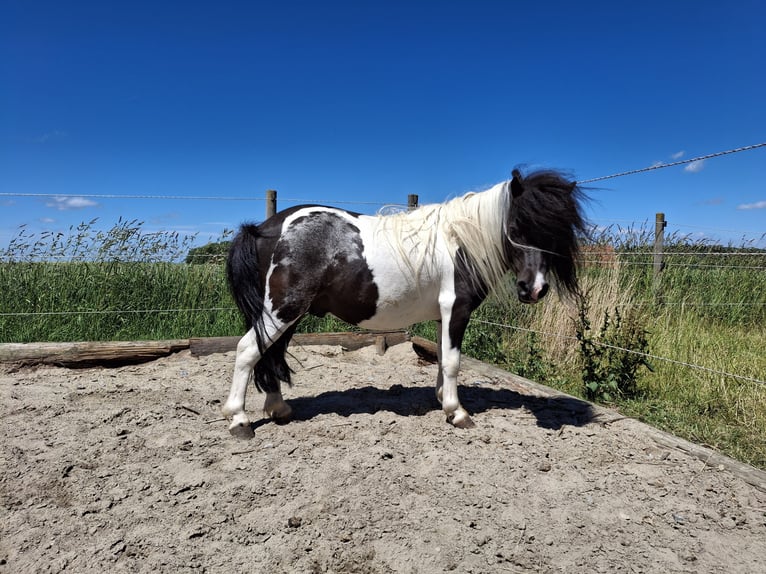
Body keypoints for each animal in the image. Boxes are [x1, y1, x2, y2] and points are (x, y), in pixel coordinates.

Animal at [222, 169, 587, 438]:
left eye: (556, 231)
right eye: (515, 226)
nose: (534, 289)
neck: (461, 243)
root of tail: (264, 228)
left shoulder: (443, 316)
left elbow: (441, 358)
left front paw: (442, 400)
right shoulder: (457, 310)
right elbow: (452, 362)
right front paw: (457, 413)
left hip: (287, 314)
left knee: (271, 353)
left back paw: (279, 409)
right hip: (282, 311)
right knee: (247, 350)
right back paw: (239, 420)